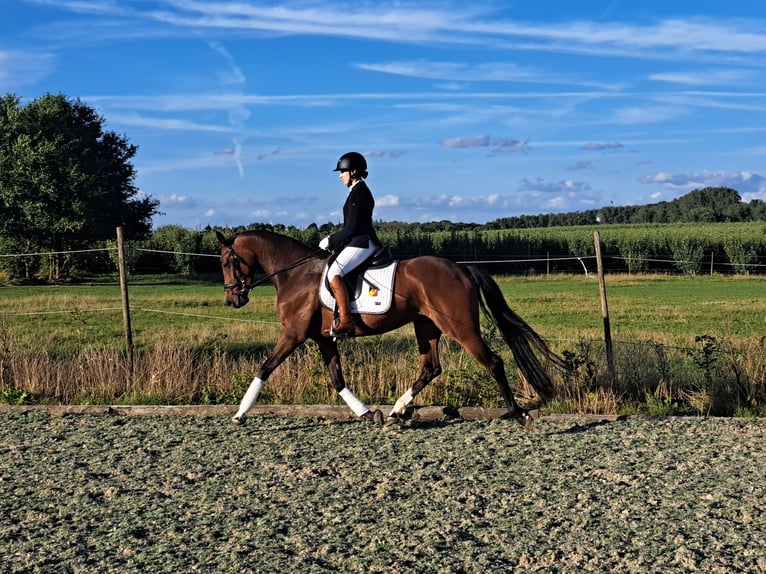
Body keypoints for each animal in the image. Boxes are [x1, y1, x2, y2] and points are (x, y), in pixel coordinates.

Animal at [216, 232, 564, 430]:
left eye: (226, 262)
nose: (233, 300)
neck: (295, 274)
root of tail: (462, 269)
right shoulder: (321, 338)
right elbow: (337, 379)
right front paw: (368, 414)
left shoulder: (294, 334)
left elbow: (265, 368)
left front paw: (239, 415)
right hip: (426, 326)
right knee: (431, 368)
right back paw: (396, 412)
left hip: (459, 328)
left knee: (493, 362)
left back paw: (519, 415)